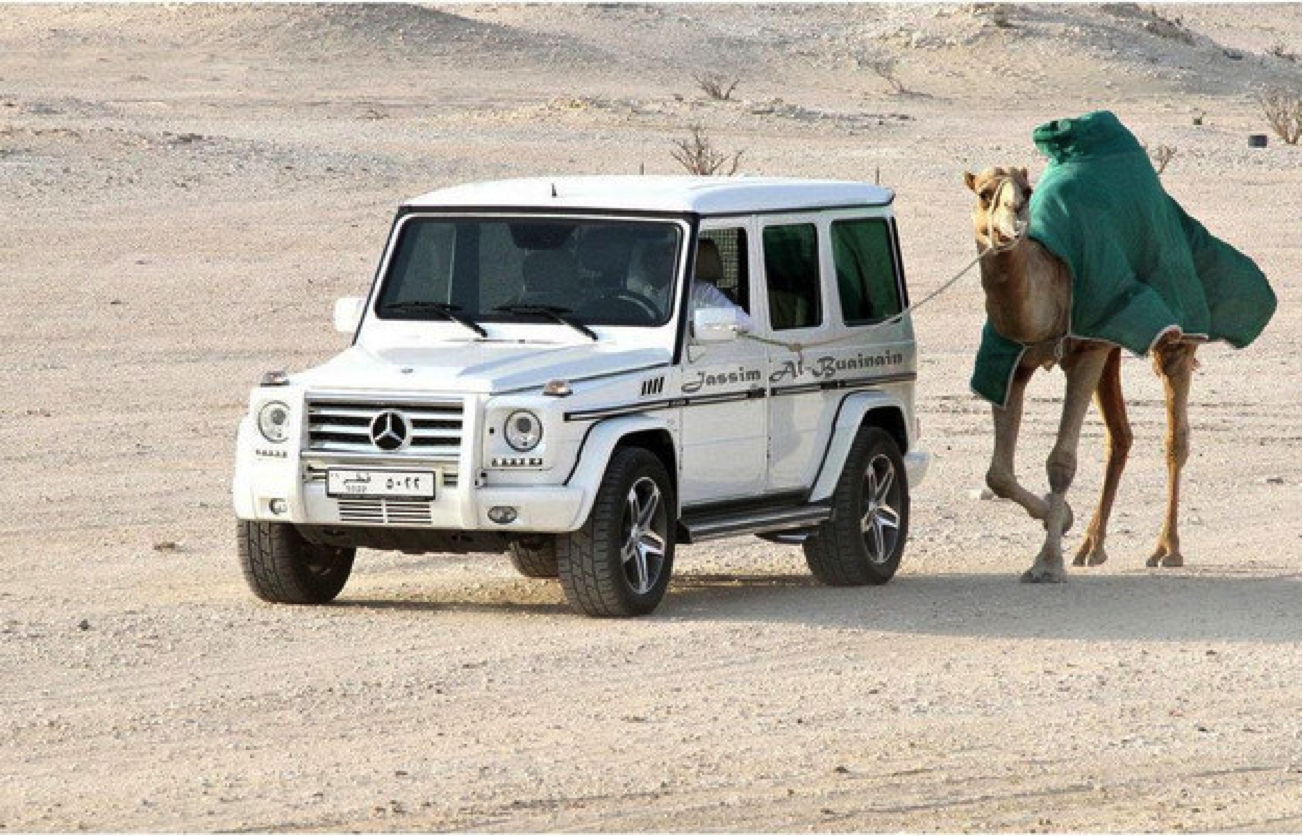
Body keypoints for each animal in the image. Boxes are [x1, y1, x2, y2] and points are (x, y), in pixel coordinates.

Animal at [964, 166, 1193, 583]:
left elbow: (1061, 462)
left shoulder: (1086, 352)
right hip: (1111, 349)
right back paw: (1091, 546)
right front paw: (1063, 520)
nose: (1015, 218)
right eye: (984, 193)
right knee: (1119, 436)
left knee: (1175, 436)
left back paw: (1166, 549)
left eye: (1027, 191)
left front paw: (1047, 562)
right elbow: (998, 474)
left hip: (1172, 340)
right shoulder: (1012, 364)